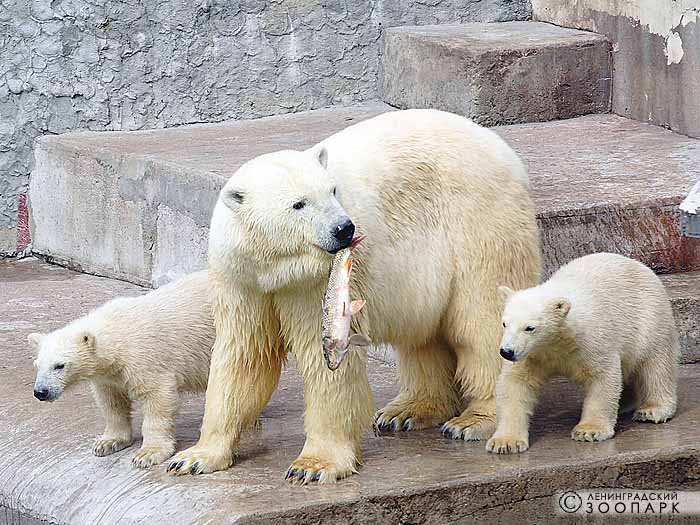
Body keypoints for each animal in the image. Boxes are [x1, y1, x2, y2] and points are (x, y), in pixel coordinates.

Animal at [168, 108, 540, 482]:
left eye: (332, 190)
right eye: (298, 204)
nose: (344, 229)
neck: (275, 267)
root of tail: (499, 147)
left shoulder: (318, 283)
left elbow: (324, 359)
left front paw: (313, 466)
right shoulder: (241, 279)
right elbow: (245, 353)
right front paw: (194, 457)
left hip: (478, 223)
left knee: (480, 319)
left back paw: (475, 420)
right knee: (422, 335)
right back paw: (407, 411)